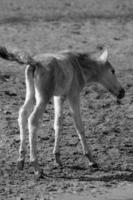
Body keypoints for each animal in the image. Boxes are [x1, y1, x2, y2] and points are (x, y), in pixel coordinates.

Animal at [0, 45, 124, 175]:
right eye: (112, 70)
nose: (122, 92)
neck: (78, 64)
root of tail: (35, 62)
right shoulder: (73, 95)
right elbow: (78, 124)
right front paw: (91, 159)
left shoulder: (59, 96)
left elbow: (58, 123)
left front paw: (57, 158)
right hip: (43, 98)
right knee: (33, 119)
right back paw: (36, 166)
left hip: (31, 93)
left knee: (23, 114)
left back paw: (21, 160)